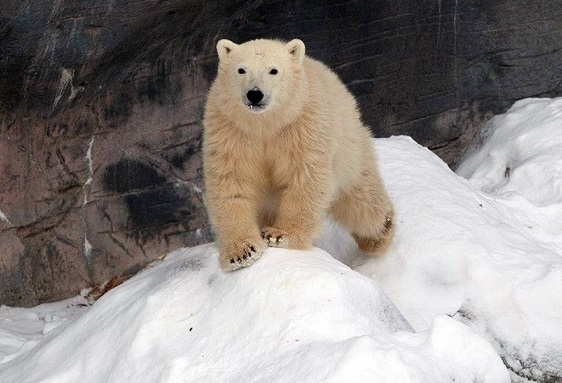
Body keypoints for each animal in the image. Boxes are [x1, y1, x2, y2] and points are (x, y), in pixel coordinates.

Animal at [202, 38, 394, 270]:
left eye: (273, 70)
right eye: (241, 69)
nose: (255, 94)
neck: (266, 124)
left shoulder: (302, 125)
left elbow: (304, 177)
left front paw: (278, 235)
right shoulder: (231, 130)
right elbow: (233, 182)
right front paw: (242, 252)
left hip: (349, 146)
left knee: (361, 200)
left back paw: (379, 234)